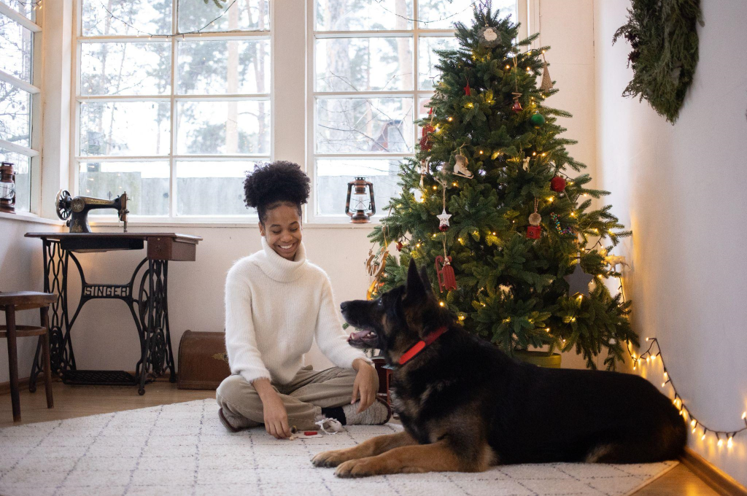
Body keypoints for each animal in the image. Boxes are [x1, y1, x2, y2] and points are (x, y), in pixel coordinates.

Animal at [312, 260, 688, 476]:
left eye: (379, 303)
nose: (341, 304)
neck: (428, 353)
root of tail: (674, 407)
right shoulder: (423, 435)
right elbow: (377, 441)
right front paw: (340, 453)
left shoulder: (459, 451)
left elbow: (398, 452)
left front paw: (359, 466)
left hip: (600, 451)